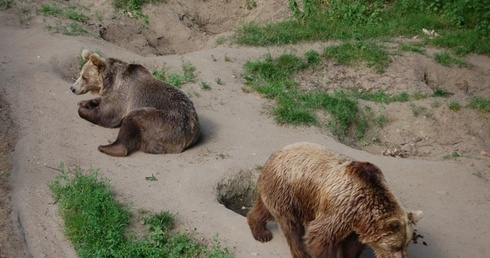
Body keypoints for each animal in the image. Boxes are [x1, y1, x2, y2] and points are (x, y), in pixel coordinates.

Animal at [69, 49, 199, 156]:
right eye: (80, 74)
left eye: (84, 77)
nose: (72, 88)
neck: (109, 81)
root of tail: (192, 131)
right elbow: (101, 101)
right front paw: (85, 102)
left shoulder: (122, 94)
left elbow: (105, 116)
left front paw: (84, 109)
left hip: (164, 121)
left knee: (134, 119)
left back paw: (106, 147)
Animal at [247, 141, 424, 258]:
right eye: (395, 246)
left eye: (407, 244)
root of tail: (276, 153)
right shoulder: (341, 209)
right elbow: (321, 236)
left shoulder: (357, 224)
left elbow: (352, 246)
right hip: (288, 188)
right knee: (291, 223)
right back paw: (299, 251)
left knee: (265, 209)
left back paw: (260, 231)